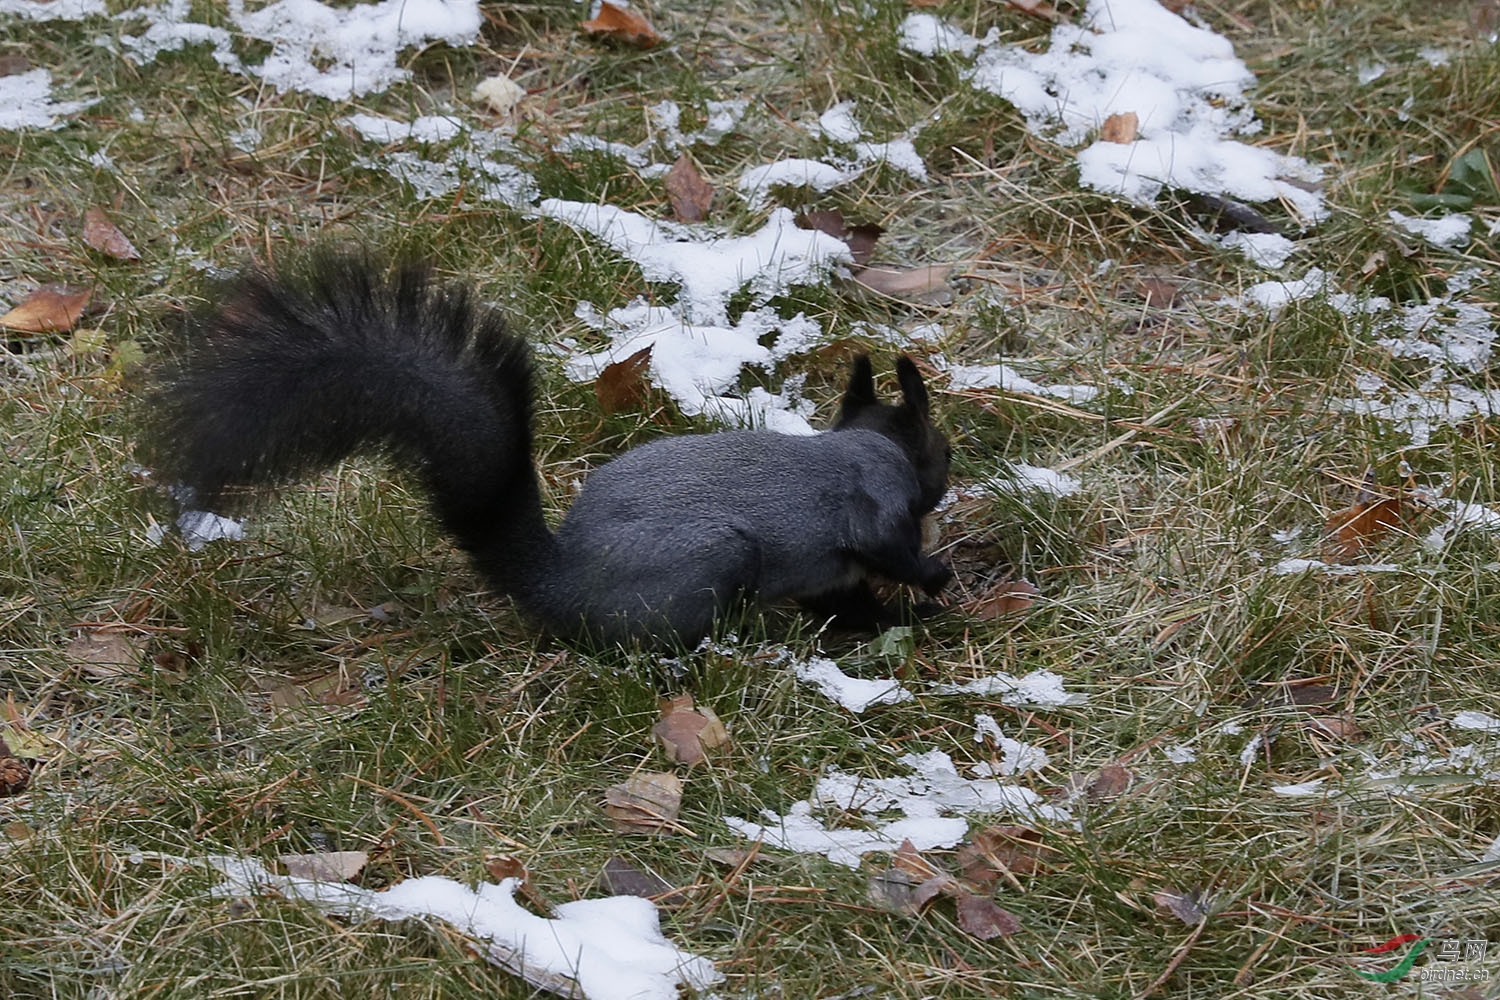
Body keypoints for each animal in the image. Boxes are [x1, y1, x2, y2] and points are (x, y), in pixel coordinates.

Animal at [149, 254, 948, 644]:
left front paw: (900, 618)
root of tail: (561, 583)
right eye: (938, 450)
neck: (862, 443)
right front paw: (935, 585)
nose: (945, 480)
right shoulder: (876, 510)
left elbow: (850, 602)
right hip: (712, 563)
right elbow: (891, 553)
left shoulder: (834, 571)